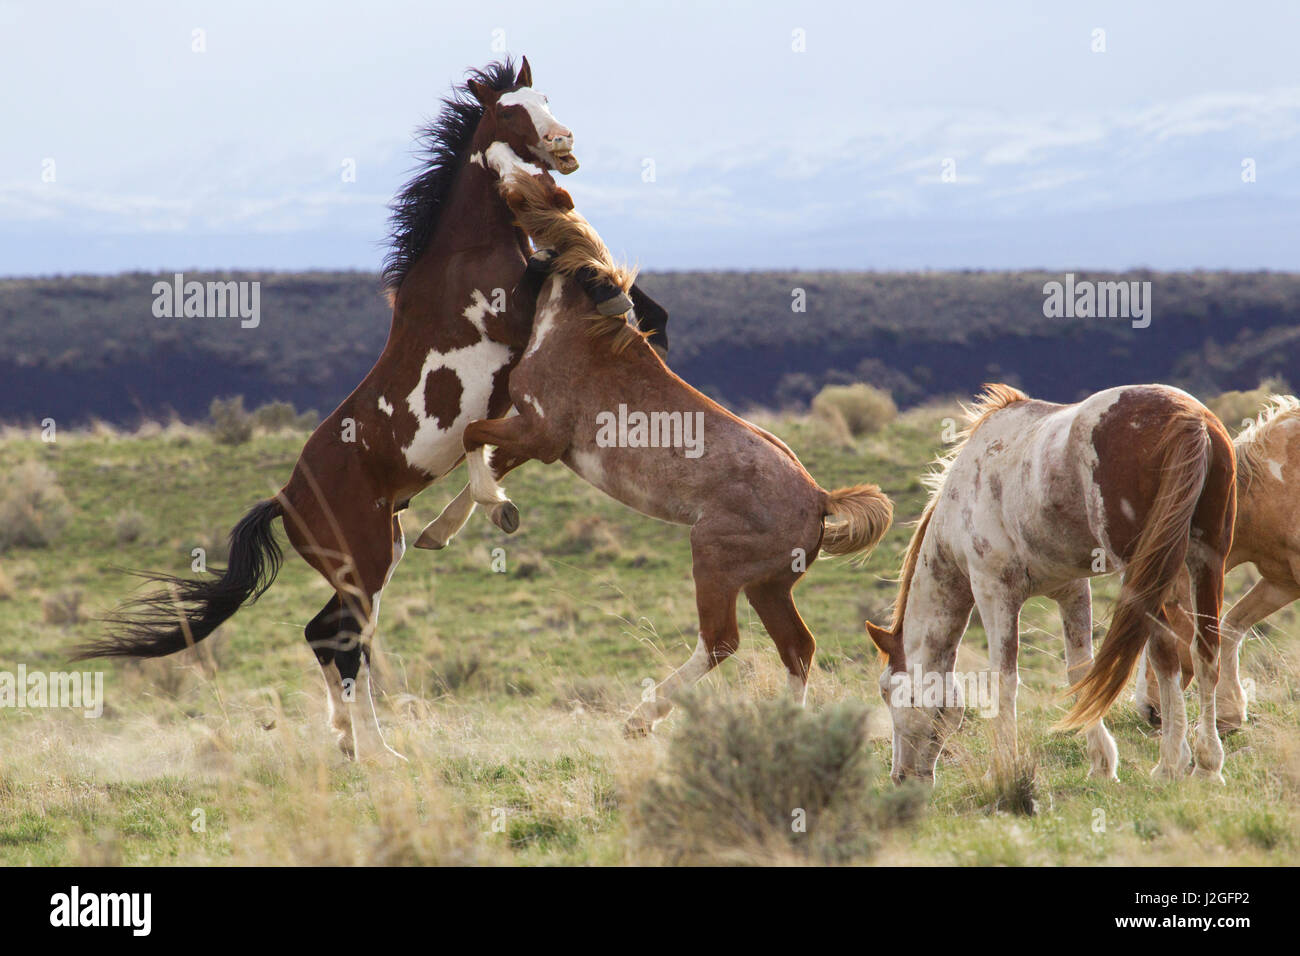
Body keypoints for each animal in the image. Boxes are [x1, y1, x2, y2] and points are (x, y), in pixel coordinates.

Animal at [72, 57, 629, 764]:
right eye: (510, 111)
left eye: (547, 98)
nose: (564, 143)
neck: (465, 252)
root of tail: (284, 498)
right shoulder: (510, 317)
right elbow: (559, 273)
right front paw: (615, 297)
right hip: (361, 562)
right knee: (342, 643)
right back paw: (374, 753)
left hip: (375, 557)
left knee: (329, 635)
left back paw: (357, 743)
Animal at [436, 166, 894, 733]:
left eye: (528, 191)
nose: (503, 180)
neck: (579, 332)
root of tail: (821, 499)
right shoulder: (532, 434)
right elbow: (483, 447)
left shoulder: (542, 434)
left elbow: (473, 435)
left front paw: (500, 509)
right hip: (768, 586)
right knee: (798, 648)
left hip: (715, 559)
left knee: (722, 641)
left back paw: (642, 717)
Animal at [868, 385, 1232, 790]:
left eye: (887, 691)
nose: (900, 776)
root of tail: (1189, 418)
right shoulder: (1072, 591)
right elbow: (1080, 672)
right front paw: (1101, 764)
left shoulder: (994, 593)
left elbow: (1003, 681)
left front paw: (1001, 768)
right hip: (1207, 559)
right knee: (1205, 653)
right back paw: (1207, 765)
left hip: (1147, 572)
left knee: (1165, 655)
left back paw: (1170, 763)